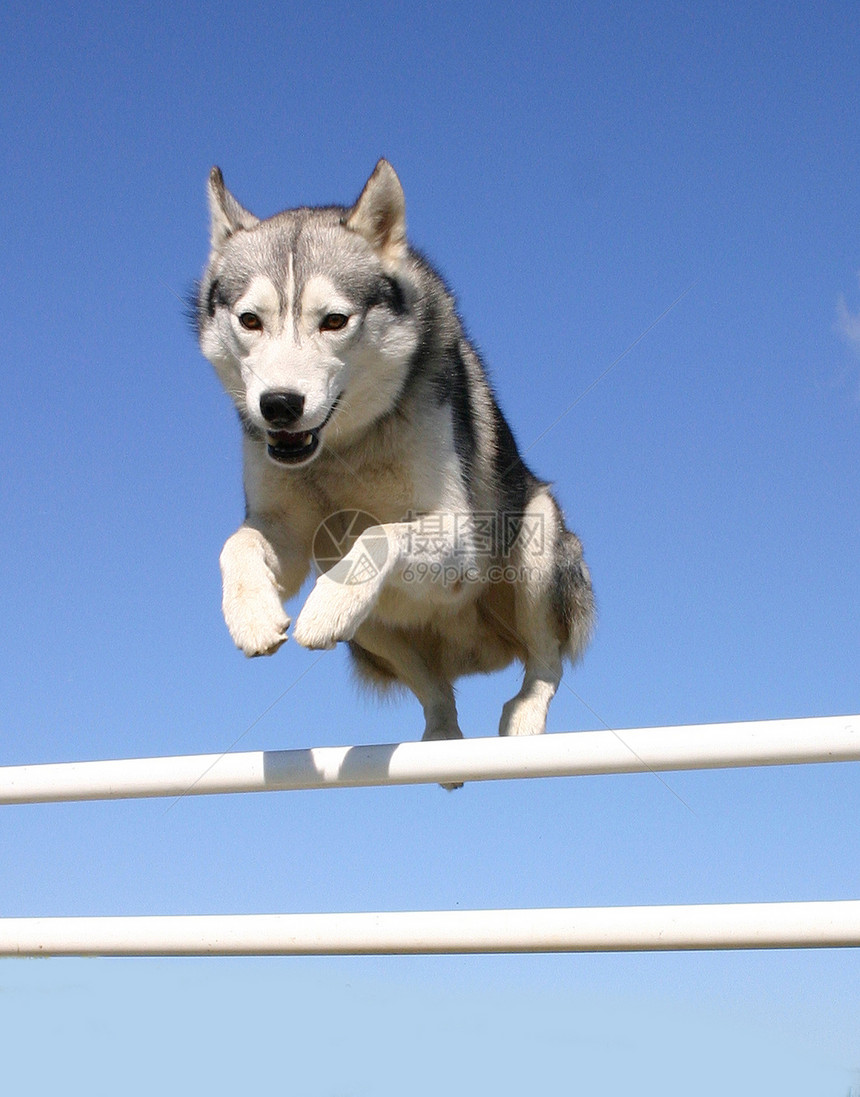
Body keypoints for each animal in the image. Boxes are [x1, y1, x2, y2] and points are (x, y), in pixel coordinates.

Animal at [197, 160, 596, 745]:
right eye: (250, 320)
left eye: (334, 320)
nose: (279, 405)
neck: (345, 447)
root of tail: (476, 656)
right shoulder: (285, 533)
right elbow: (237, 544)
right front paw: (251, 616)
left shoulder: (458, 537)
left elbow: (380, 534)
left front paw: (324, 604)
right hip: (372, 625)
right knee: (435, 691)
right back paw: (441, 737)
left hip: (537, 542)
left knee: (546, 665)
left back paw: (523, 718)